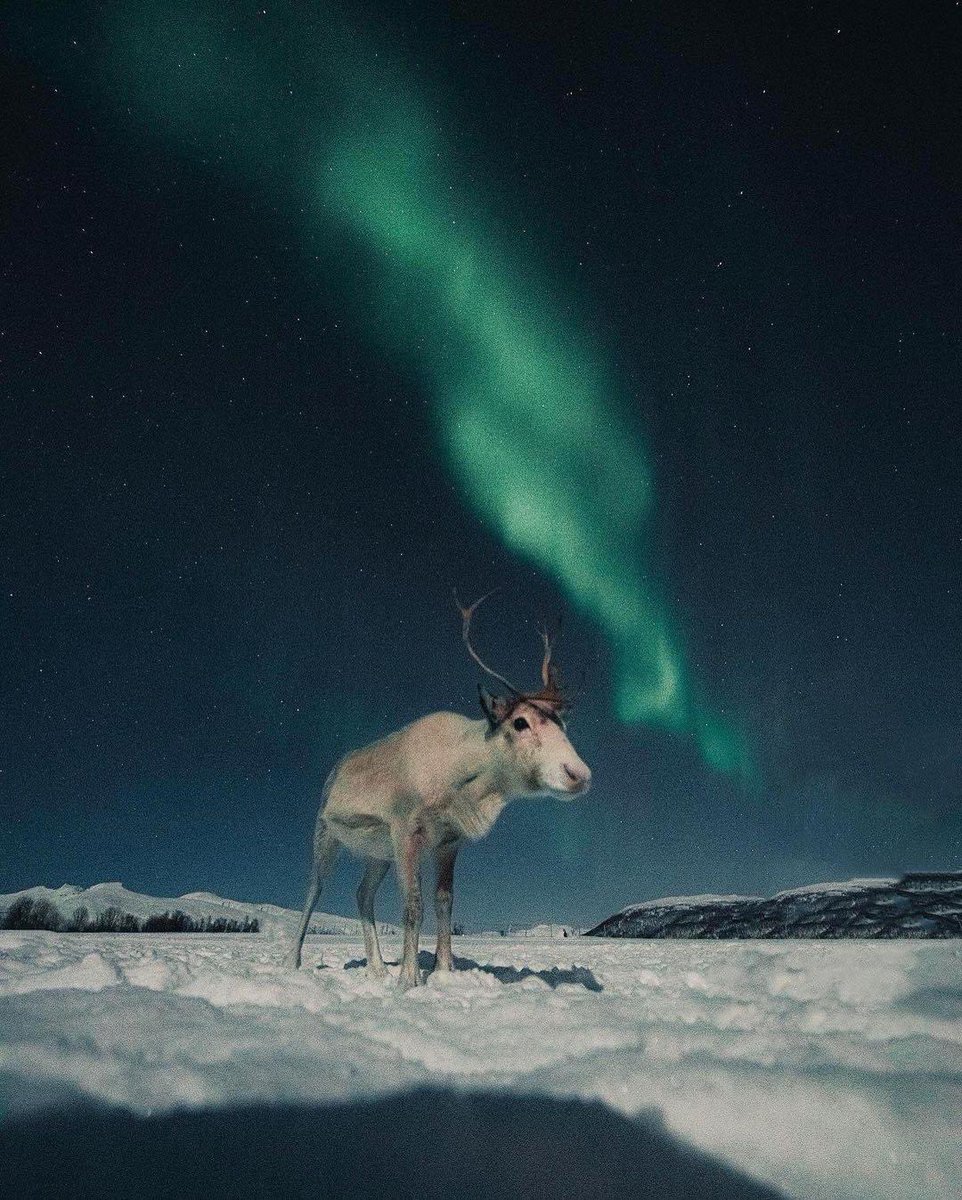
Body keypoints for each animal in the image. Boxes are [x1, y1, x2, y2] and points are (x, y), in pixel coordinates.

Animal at [285, 590, 592, 988]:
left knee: (362, 894)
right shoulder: (405, 830)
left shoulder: (448, 841)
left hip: (377, 853)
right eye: (520, 722)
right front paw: (409, 980)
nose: (579, 773)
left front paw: (443, 971)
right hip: (326, 833)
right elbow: (412, 905)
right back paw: (292, 962)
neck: (464, 780)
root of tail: (334, 770)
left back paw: (376, 968)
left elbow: (443, 900)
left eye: (563, 725)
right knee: (313, 891)